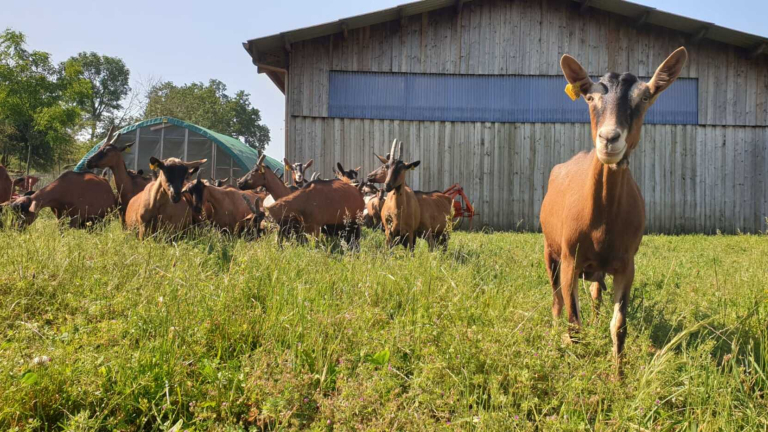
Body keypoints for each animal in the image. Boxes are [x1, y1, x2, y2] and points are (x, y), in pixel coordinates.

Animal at [540, 47, 688, 372]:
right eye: (590, 97)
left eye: (644, 97)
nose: (609, 139)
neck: (601, 223)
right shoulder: (570, 258)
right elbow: (573, 322)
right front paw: (576, 366)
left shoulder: (626, 264)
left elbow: (619, 325)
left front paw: (617, 375)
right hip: (550, 249)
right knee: (557, 301)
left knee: (595, 294)